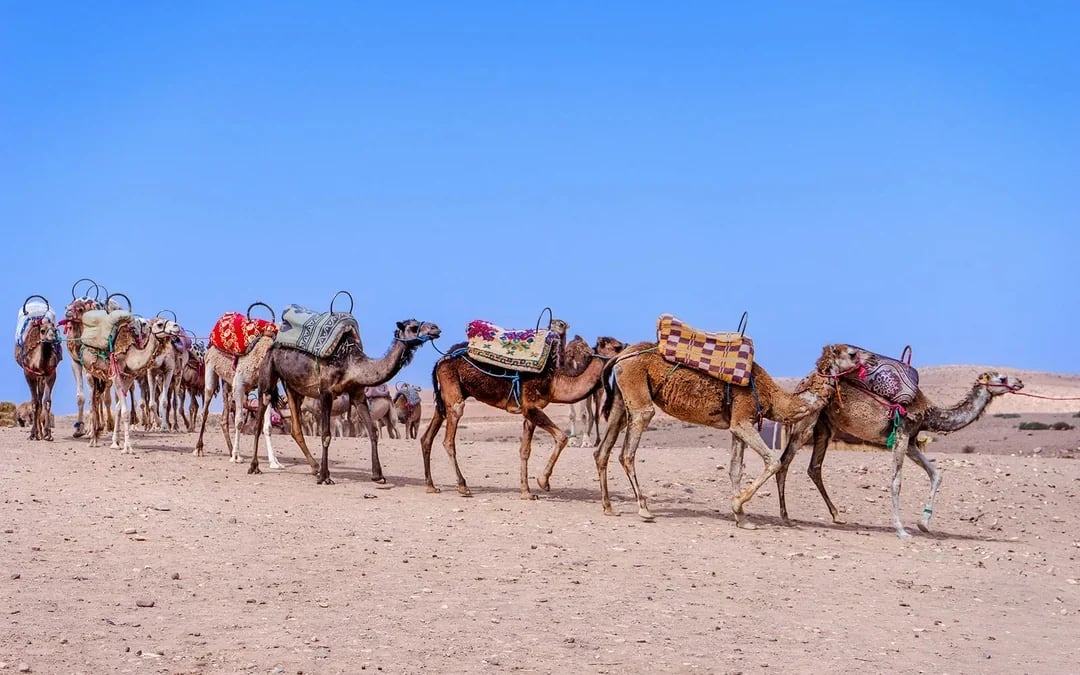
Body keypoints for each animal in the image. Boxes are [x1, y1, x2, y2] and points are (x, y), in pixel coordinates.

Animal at [15, 297, 63, 441]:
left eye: (55, 329)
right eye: (42, 330)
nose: (52, 337)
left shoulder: (51, 374)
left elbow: (46, 401)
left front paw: (48, 434)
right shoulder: (28, 373)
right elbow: (34, 403)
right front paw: (32, 433)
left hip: (41, 377)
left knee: (41, 399)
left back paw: (41, 433)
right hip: (35, 376)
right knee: (37, 400)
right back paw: (36, 433)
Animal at [252, 318, 442, 484]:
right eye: (413, 327)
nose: (436, 328)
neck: (352, 365)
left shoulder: (358, 394)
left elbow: (372, 431)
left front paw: (378, 475)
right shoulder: (325, 393)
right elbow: (326, 435)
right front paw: (325, 477)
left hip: (294, 387)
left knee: (296, 429)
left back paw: (314, 467)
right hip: (267, 374)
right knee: (260, 417)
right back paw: (254, 467)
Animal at [420, 334, 626, 500]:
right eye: (617, 346)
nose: (627, 349)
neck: (554, 381)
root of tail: (440, 361)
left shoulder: (530, 413)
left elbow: (525, 450)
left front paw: (527, 492)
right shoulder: (531, 407)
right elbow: (562, 437)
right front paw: (543, 482)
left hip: (448, 395)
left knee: (427, 437)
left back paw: (431, 486)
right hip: (453, 391)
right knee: (449, 438)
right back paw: (463, 487)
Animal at [592, 343, 864, 528]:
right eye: (850, 353)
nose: (864, 359)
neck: (774, 397)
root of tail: (620, 356)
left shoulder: (738, 425)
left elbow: (735, 470)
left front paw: (741, 518)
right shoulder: (743, 418)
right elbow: (773, 461)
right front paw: (738, 507)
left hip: (620, 399)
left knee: (601, 450)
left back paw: (609, 507)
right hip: (638, 396)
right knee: (627, 453)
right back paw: (644, 509)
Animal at [774, 371, 1023, 539]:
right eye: (1002, 378)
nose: (1019, 382)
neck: (928, 413)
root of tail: (801, 384)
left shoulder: (912, 441)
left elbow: (936, 474)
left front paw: (924, 523)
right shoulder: (902, 434)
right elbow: (896, 482)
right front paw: (902, 530)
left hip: (825, 427)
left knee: (814, 467)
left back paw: (837, 515)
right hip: (806, 422)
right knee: (784, 461)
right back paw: (785, 516)